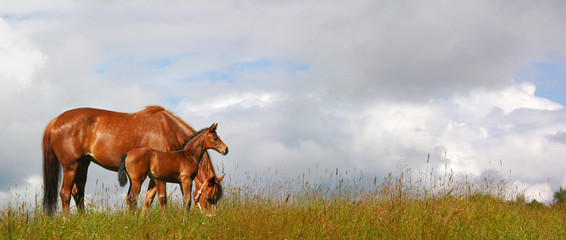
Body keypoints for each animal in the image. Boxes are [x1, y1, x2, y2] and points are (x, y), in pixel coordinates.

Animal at [42, 106, 219, 215]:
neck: (167, 129)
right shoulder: (159, 175)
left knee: (78, 193)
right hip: (70, 166)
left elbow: (146, 198)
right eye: (210, 197)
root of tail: (55, 121)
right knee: (65, 193)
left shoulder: (150, 175)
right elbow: (158, 198)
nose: (211, 218)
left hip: (83, 165)